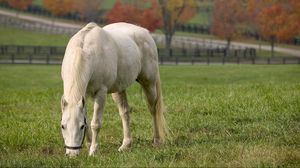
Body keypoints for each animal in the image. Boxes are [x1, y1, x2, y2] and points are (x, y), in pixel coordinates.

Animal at [60, 22, 168, 156]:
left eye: (81, 126)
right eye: (63, 126)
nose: (72, 154)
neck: (86, 52)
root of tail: (146, 33)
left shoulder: (100, 93)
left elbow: (95, 123)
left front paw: (93, 150)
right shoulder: (83, 95)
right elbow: (88, 119)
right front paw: (89, 144)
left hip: (149, 84)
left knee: (153, 110)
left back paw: (157, 140)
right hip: (119, 90)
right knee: (125, 113)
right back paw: (126, 145)